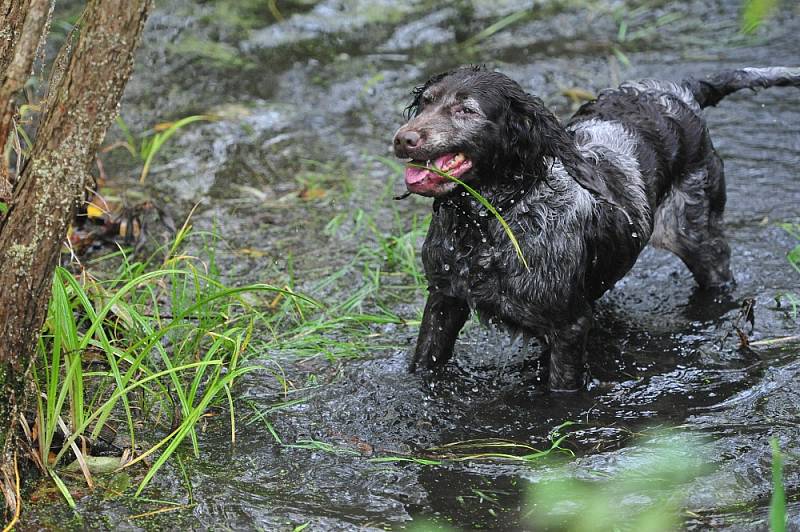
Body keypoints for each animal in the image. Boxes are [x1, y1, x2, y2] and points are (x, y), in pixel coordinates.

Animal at [394, 65, 800, 390]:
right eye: (425, 102)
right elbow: (424, 361)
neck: (487, 226)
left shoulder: (569, 328)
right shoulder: (444, 298)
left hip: (699, 235)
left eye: (466, 110)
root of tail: (680, 92)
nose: (403, 139)